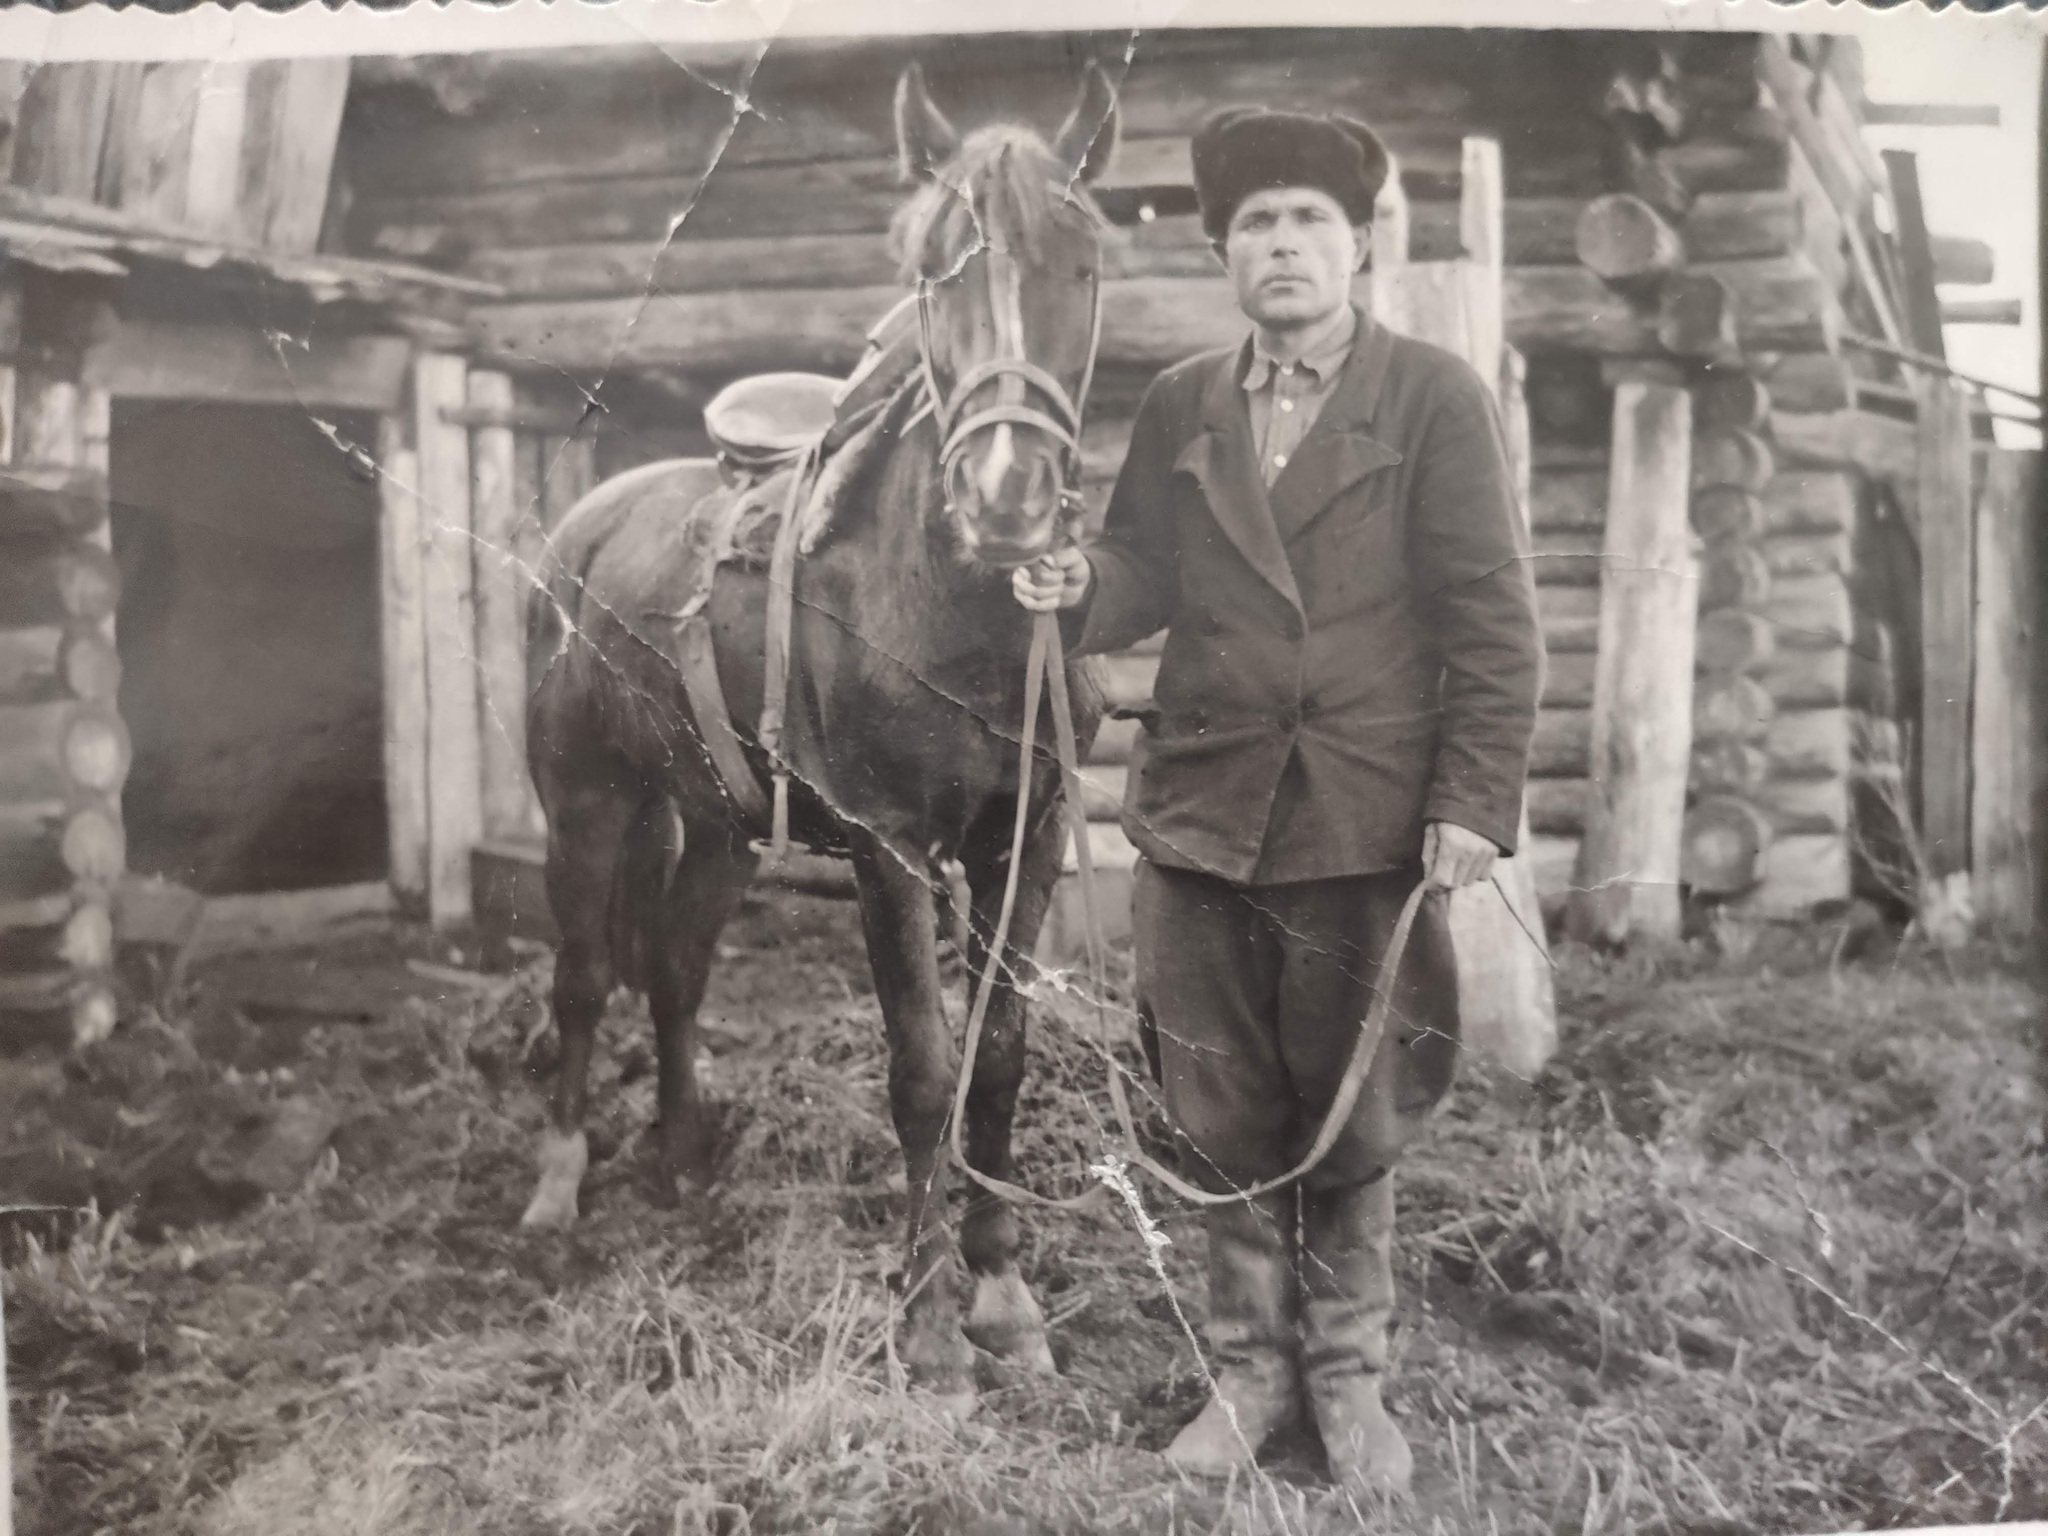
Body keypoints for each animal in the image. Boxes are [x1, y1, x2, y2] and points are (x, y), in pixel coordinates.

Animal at [520, 60, 1114, 1409]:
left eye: (1082, 260)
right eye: (932, 269)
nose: (1005, 499)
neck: (945, 607)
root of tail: (583, 528)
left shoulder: (1030, 837)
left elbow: (999, 1056)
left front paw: (1005, 1297)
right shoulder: (891, 852)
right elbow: (921, 1068)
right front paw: (932, 1326)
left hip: (719, 829)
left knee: (675, 966)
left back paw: (685, 1154)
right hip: (585, 806)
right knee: (583, 978)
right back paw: (559, 1184)